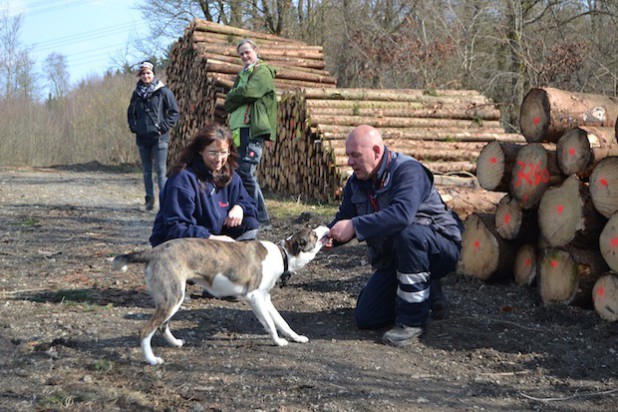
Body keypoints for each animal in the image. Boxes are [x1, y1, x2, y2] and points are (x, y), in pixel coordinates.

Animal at [113, 225, 330, 364]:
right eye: (313, 234)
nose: (326, 226)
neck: (282, 253)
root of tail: (155, 252)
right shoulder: (255, 297)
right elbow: (270, 324)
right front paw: (277, 342)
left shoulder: (265, 298)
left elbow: (282, 322)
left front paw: (296, 337)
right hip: (172, 299)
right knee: (145, 330)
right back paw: (151, 360)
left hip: (173, 299)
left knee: (161, 326)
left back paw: (175, 343)